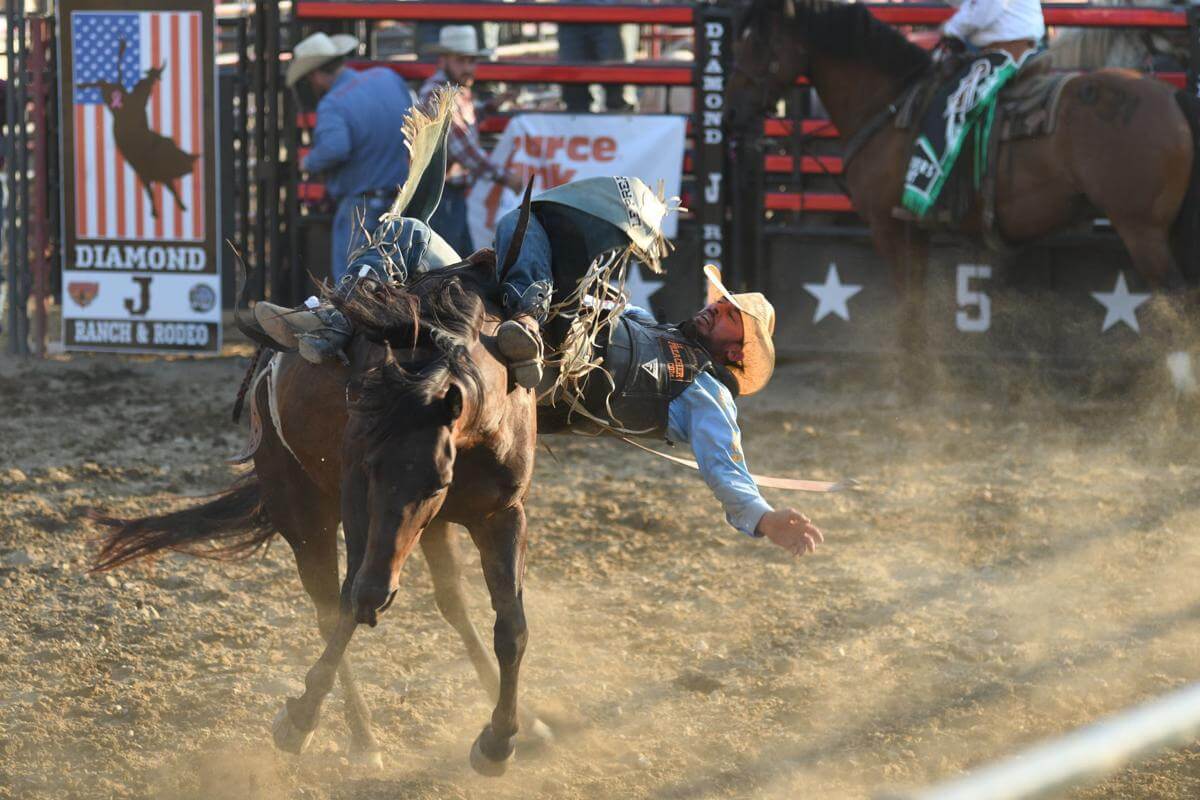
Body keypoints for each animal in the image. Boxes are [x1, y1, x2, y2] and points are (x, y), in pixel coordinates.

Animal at [92, 257, 540, 777]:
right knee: (332, 607)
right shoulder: (357, 498)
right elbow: (351, 601)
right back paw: (361, 737)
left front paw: (500, 740)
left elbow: (511, 629)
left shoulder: (501, 514)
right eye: (369, 468)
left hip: (430, 527)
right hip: (303, 511)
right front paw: (301, 717)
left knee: (444, 600)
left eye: (437, 481)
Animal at [720, 0, 1200, 393]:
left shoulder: (889, 227)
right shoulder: (913, 229)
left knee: (1178, 303)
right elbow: (916, 300)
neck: (890, 103)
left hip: (1142, 230)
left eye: (756, 42)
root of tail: (1170, 96)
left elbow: (909, 302)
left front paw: (912, 388)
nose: (731, 113)